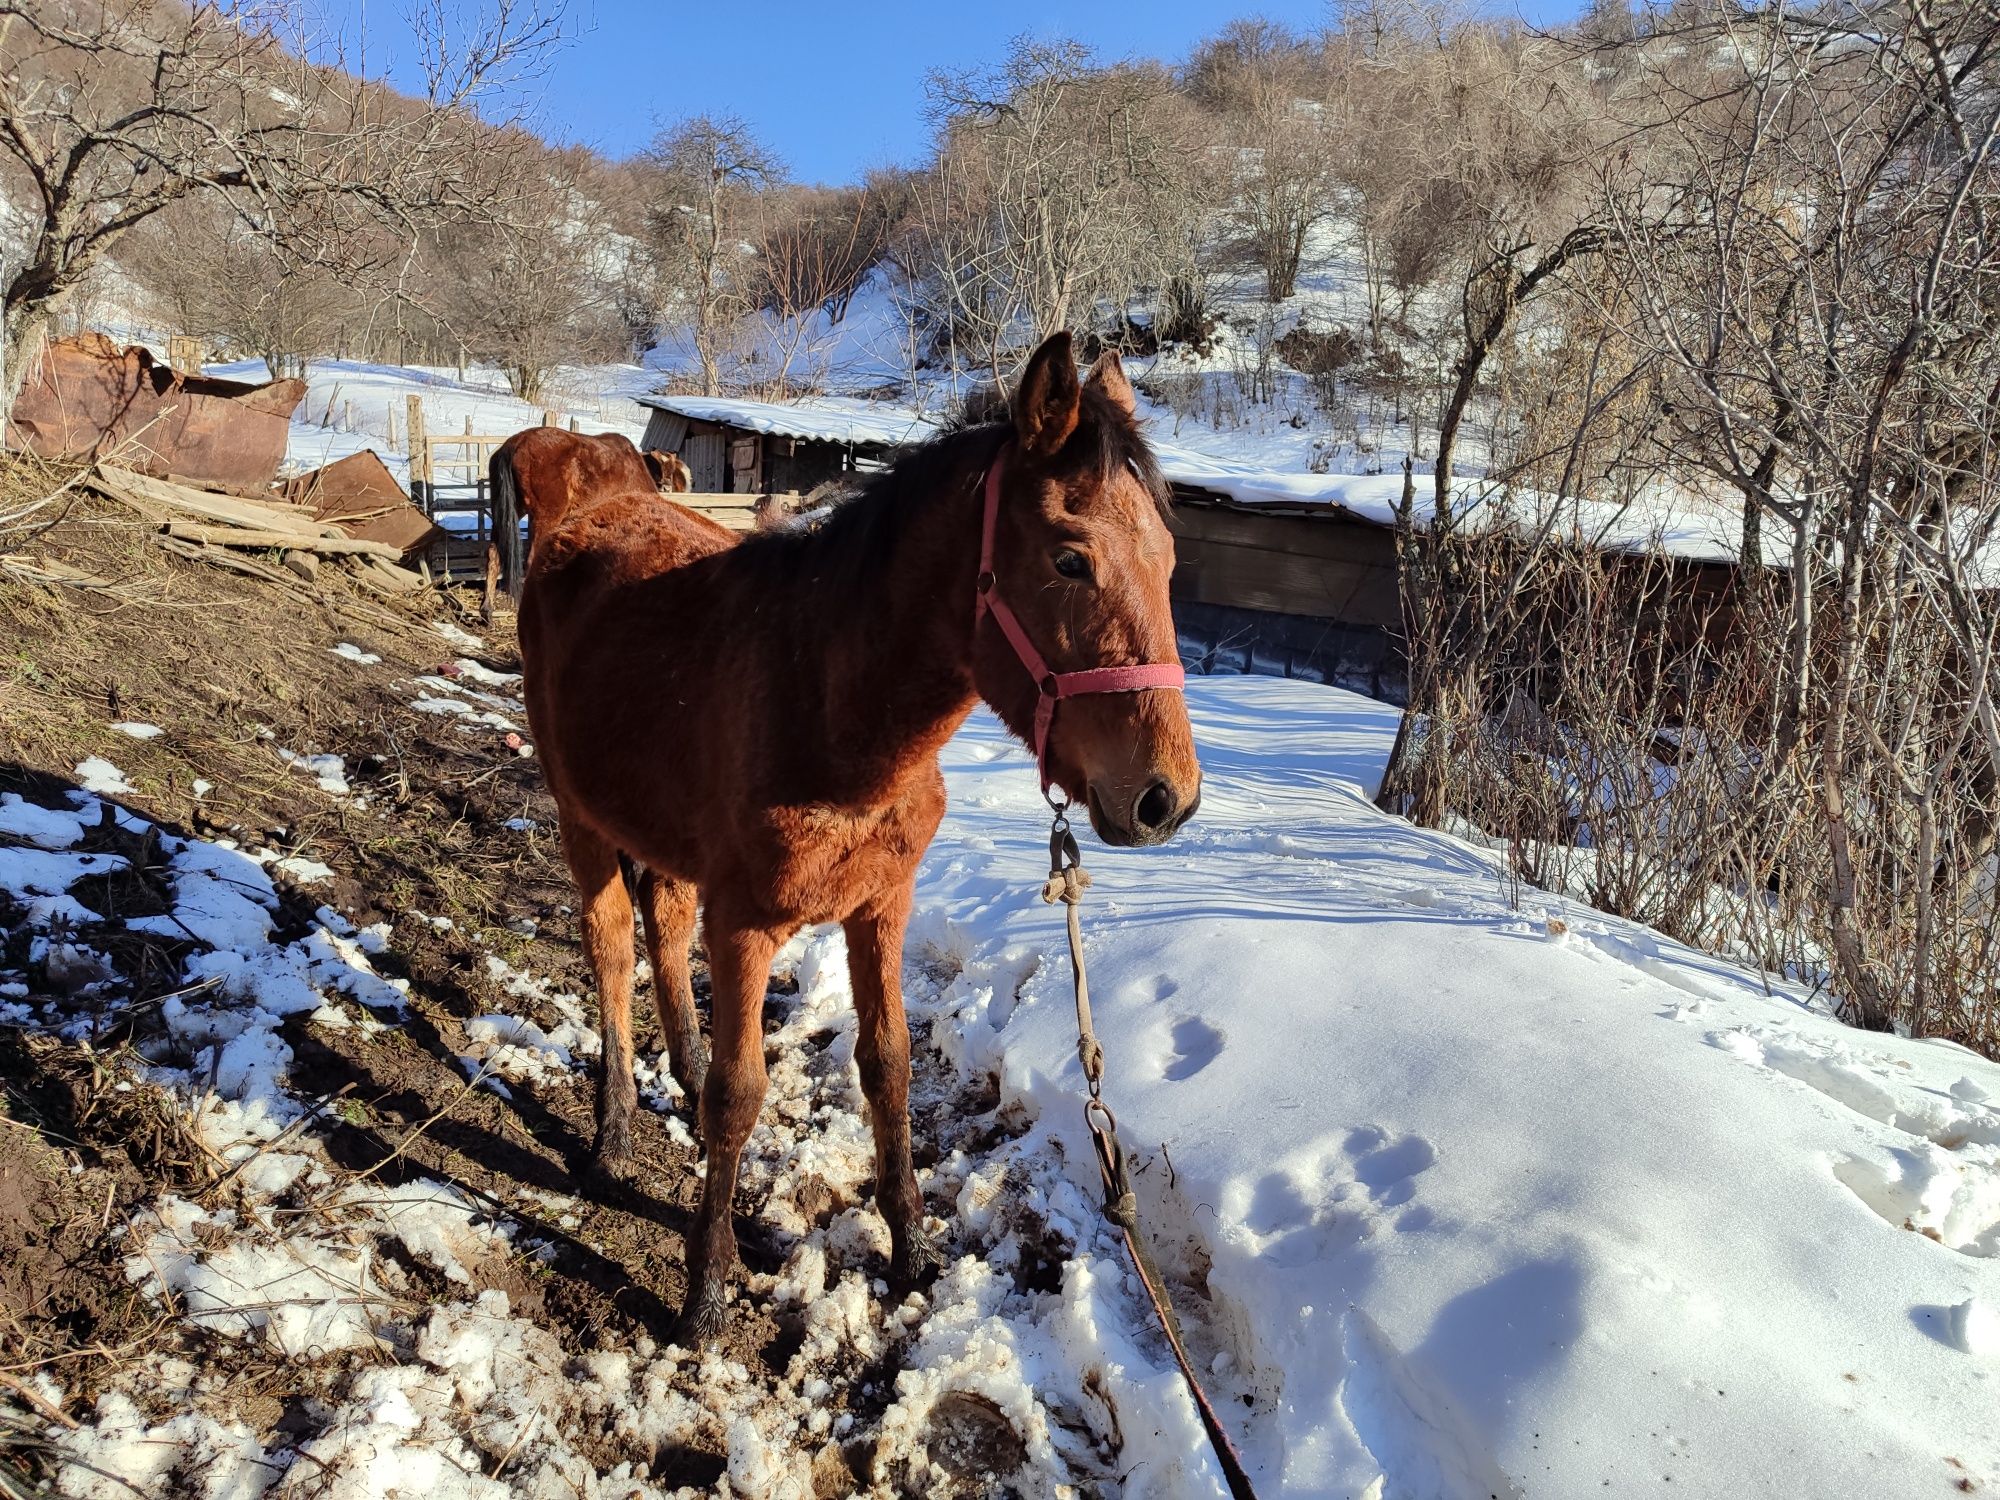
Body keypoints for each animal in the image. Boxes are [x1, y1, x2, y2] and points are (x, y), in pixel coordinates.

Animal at [516, 334, 1200, 1344]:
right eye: (1071, 559)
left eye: (1169, 559)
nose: (1166, 799)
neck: (829, 706)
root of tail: (588, 516)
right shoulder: (745, 926)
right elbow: (740, 1095)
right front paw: (706, 1289)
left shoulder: (882, 906)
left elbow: (889, 1066)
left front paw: (910, 1249)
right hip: (581, 818)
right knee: (609, 947)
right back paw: (611, 1137)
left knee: (664, 922)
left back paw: (677, 1069)